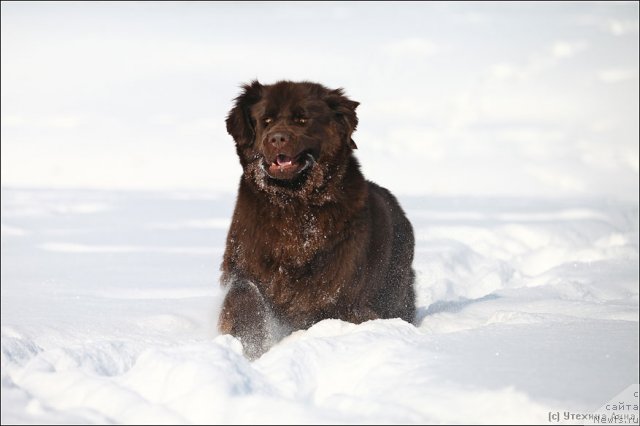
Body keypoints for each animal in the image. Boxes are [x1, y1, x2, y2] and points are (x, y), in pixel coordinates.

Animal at [218, 80, 416, 360]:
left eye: (302, 120)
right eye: (266, 120)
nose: (277, 138)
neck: (292, 204)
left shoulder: (340, 291)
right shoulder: (245, 260)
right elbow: (244, 293)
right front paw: (250, 343)